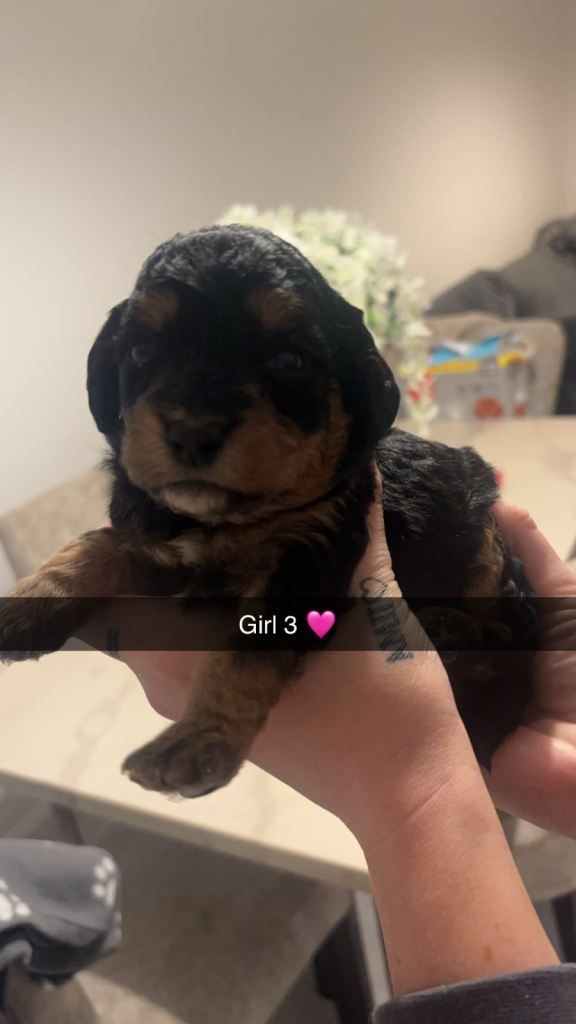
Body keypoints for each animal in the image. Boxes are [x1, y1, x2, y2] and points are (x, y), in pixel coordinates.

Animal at [0, 225, 537, 794]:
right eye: (141, 351)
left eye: (288, 362)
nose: (192, 432)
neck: (218, 522)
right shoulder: (153, 540)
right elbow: (92, 545)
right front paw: (22, 606)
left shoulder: (308, 553)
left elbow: (247, 652)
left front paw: (197, 741)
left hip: (486, 552)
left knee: (513, 636)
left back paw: (452, 630)